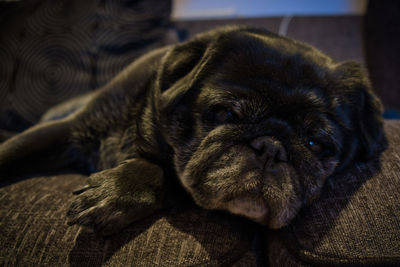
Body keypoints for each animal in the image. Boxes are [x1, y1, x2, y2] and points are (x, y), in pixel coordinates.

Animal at [0, 26, 388, 237]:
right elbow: (12, 151)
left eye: (315, 144)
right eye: (227, 113)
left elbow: (167, 172)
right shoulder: (66, 130)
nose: (271, 147)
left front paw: (117, 192)